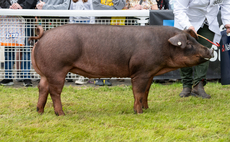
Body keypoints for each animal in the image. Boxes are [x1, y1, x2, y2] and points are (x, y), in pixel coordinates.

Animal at [29, 24, 214, 115]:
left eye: (194, 40)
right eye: (188, 44)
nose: (210, 50)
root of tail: (43, 35)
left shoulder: (150, 73)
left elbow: (146, 91)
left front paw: (148, 109)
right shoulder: (140, 71)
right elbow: (137, 92)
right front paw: (139, 112)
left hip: (46, 72)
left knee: (42, 88)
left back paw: (40, 112)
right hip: (57, 68)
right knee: (55, 92)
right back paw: (61, 114)